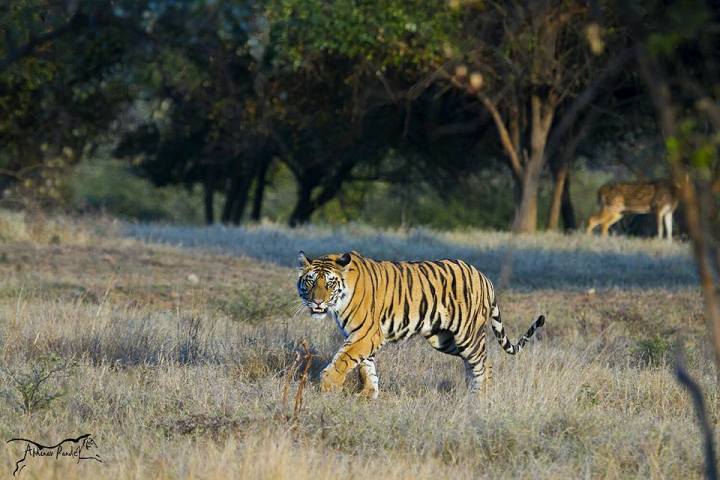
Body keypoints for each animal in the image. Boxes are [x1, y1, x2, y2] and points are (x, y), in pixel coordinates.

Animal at [296, 251, 544, 398]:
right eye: (310, 281)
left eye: (329, 283)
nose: (317, 302)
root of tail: (484, 277)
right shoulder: (361, 336)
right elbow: (366, 366)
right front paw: (368, 394)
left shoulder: (367, 334)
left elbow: (344, 359)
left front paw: (329, 385)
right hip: (444, 340)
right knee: (474, 364)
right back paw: (469, 393)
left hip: (468, 336)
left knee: (483, 365)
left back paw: (481, 398)